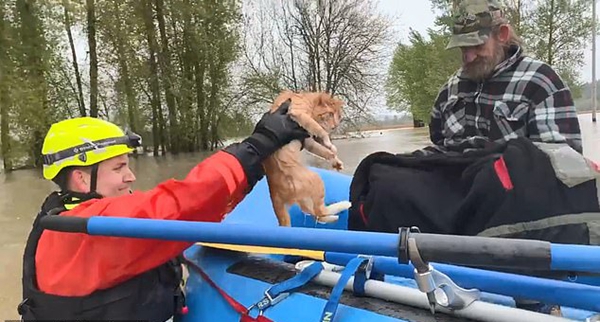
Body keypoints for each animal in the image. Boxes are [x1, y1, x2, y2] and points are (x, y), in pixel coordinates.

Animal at [262, 90, 352, 226]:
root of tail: (274, 194)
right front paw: (329, 142)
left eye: (339, 116)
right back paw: (343, 206)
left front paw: (335, 158)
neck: (306, 98)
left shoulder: (307, 140)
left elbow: (323, 150)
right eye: (330, 114)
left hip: (306, 197)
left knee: (315, 214)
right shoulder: (298, 113)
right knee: (320, 212)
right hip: (316, 180)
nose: (334, 127)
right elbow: (320, 130)